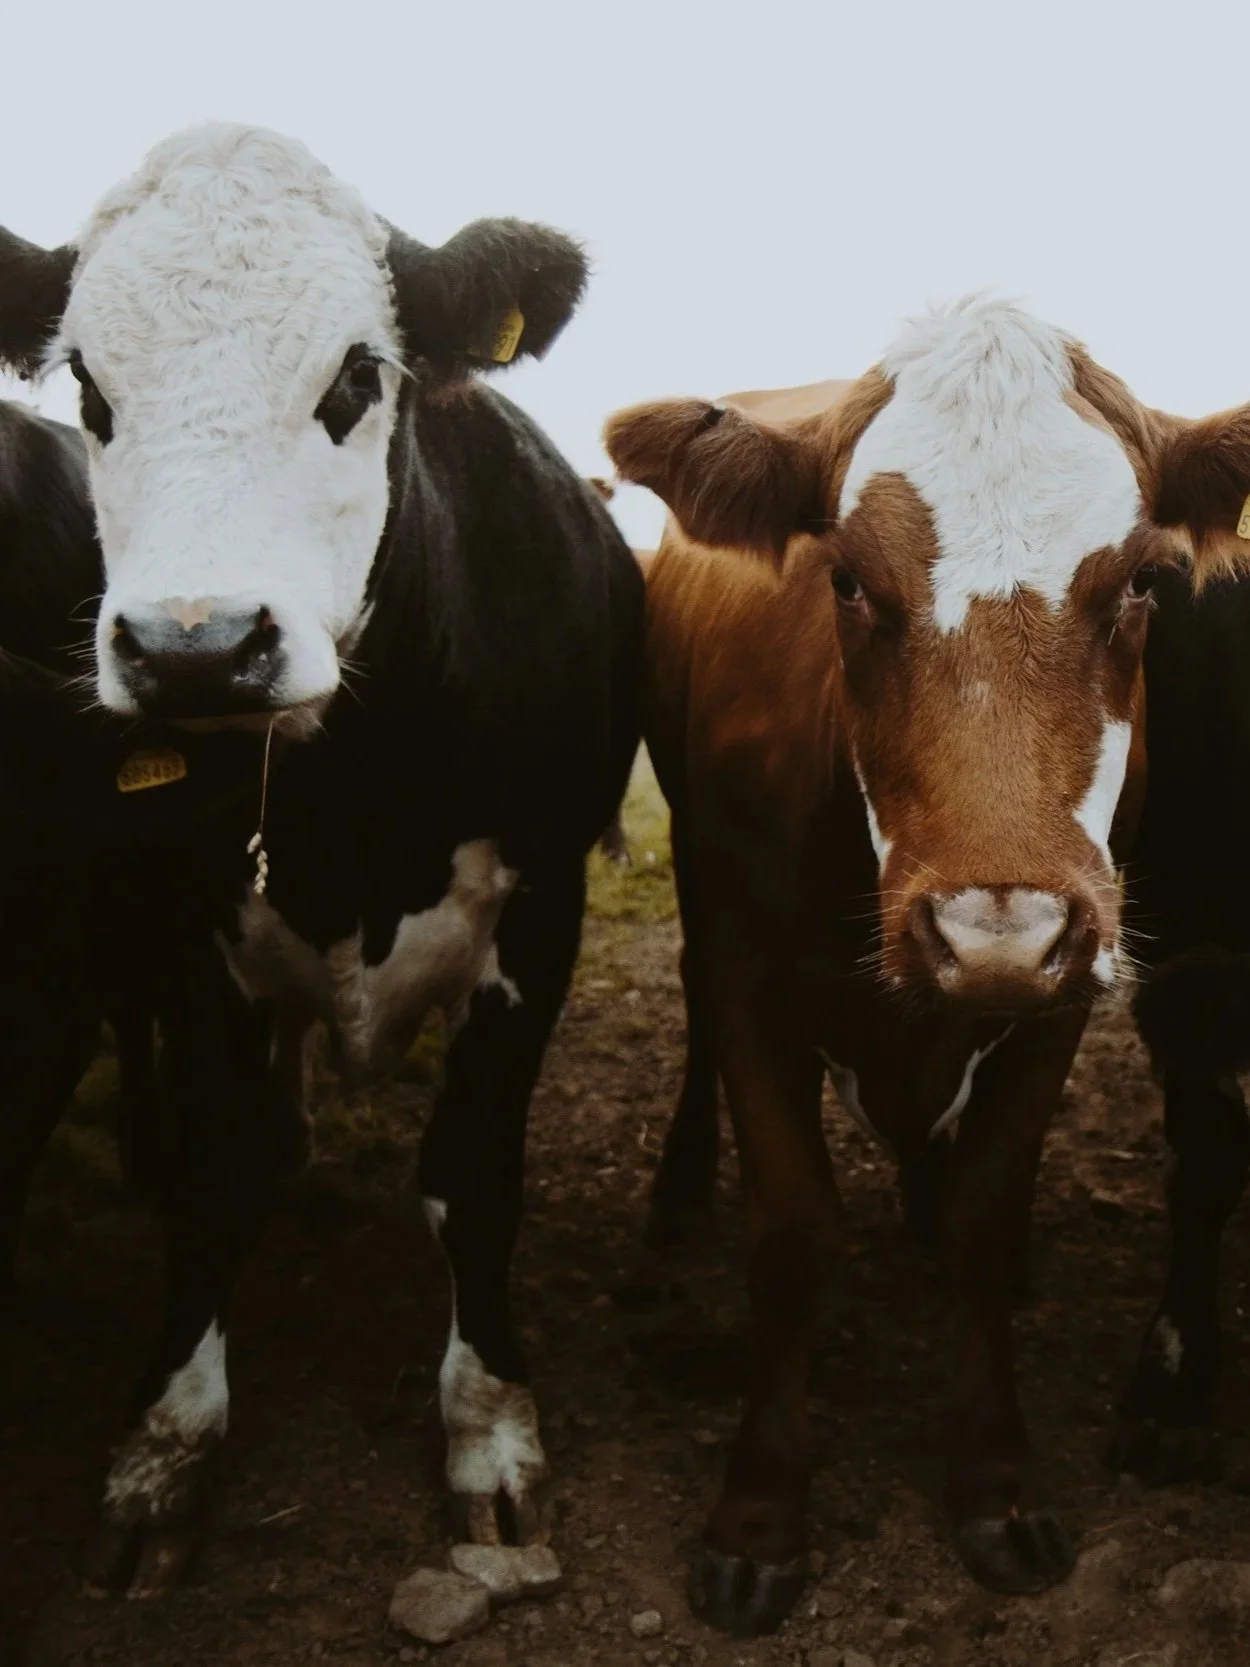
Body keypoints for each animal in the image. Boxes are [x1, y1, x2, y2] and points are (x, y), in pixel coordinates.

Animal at [0, 123, 643, 1596]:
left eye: (357, 375)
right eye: (93, 388)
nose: (190, 646)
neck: (353, 804)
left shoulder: (543, 911)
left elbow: (472, 1175)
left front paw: (489, 1432)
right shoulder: (194, 925)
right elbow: (214, 1175)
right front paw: (164, 1446)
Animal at [604, 296, 1250, 1634]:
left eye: (1142, 580)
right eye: (844, 578)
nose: (992, 924)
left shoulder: (1064, 994)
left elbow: (983, 1212)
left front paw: (996, 1482)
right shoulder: (747, 973)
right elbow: (790, 1230)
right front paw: (758, 1515)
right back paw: (680, 1179)